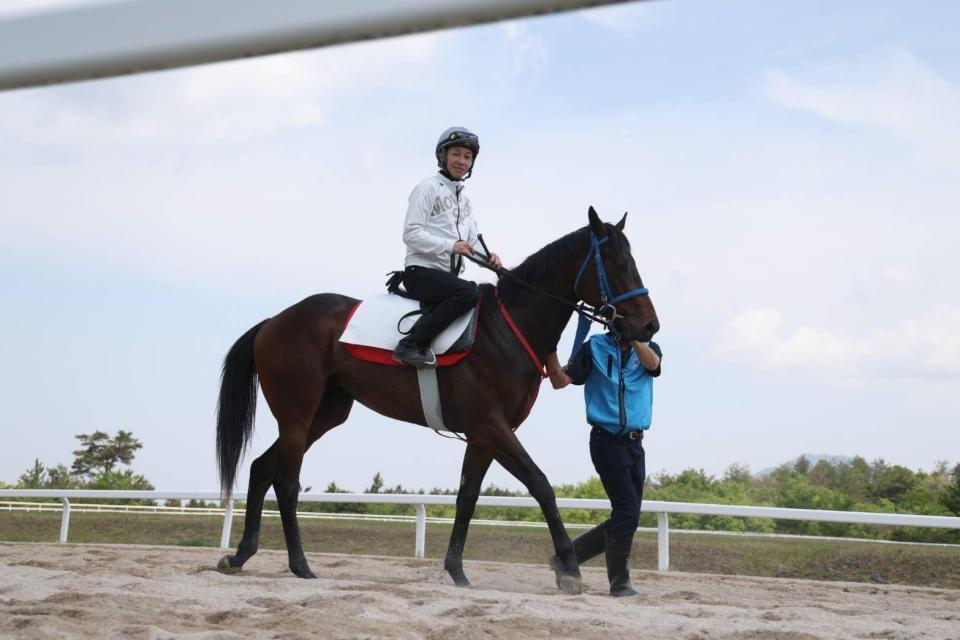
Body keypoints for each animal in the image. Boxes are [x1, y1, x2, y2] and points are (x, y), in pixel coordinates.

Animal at [214, 206, 659, 593]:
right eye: (617, 263)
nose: (649, 326)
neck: (508, 329)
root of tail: (274, 321)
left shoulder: (483, 436)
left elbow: (467, 497)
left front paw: (456, 570)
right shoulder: (492, 426)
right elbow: (541, 484)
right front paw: (567, 568)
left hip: (325, 414)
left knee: (262, 467)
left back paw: (239, 555)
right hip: (297, 412)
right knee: (287, 481)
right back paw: (300, 564)